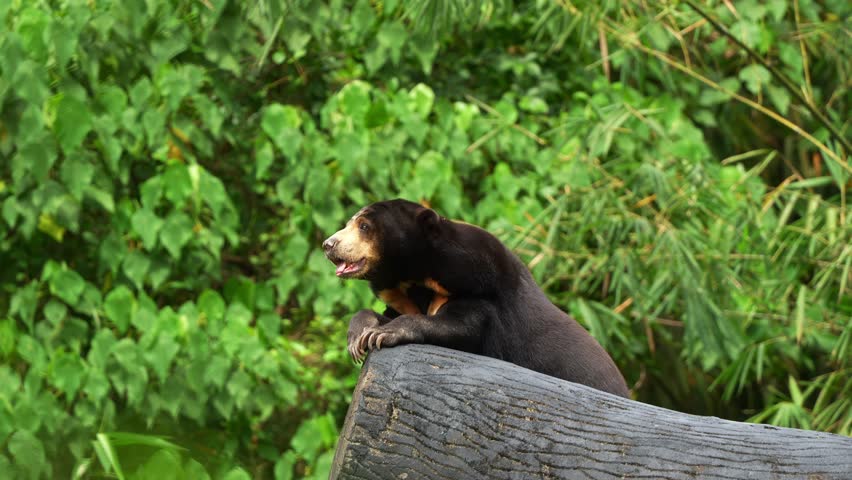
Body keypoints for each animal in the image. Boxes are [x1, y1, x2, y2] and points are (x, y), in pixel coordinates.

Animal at [322, 199, 629, 397]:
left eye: (364, 226)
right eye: (350, 224)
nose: (328, 244)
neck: (416, 275)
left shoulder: (480, 286)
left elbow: (463, 326)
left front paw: (383, 335)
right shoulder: (403, 296)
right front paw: (360, 337)